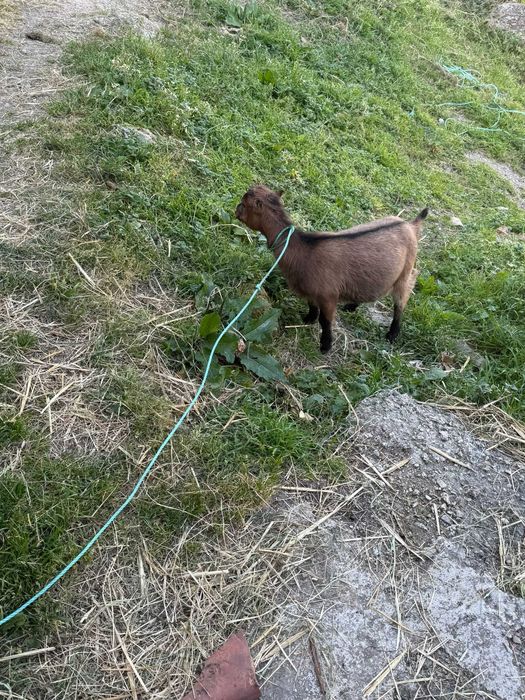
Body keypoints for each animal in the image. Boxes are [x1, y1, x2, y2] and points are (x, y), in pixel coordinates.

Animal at [235, 185, 428, 353]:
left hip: (405, 272)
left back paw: (392, 334)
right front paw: (308, 319)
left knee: (401, 299)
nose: (235, 209)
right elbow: (312, 305)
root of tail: (410, 225)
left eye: (244, 203)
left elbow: (325, 321)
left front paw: (325, 345)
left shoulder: (328, 296)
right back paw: (352, 306)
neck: (303, 249)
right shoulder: (312, 291)